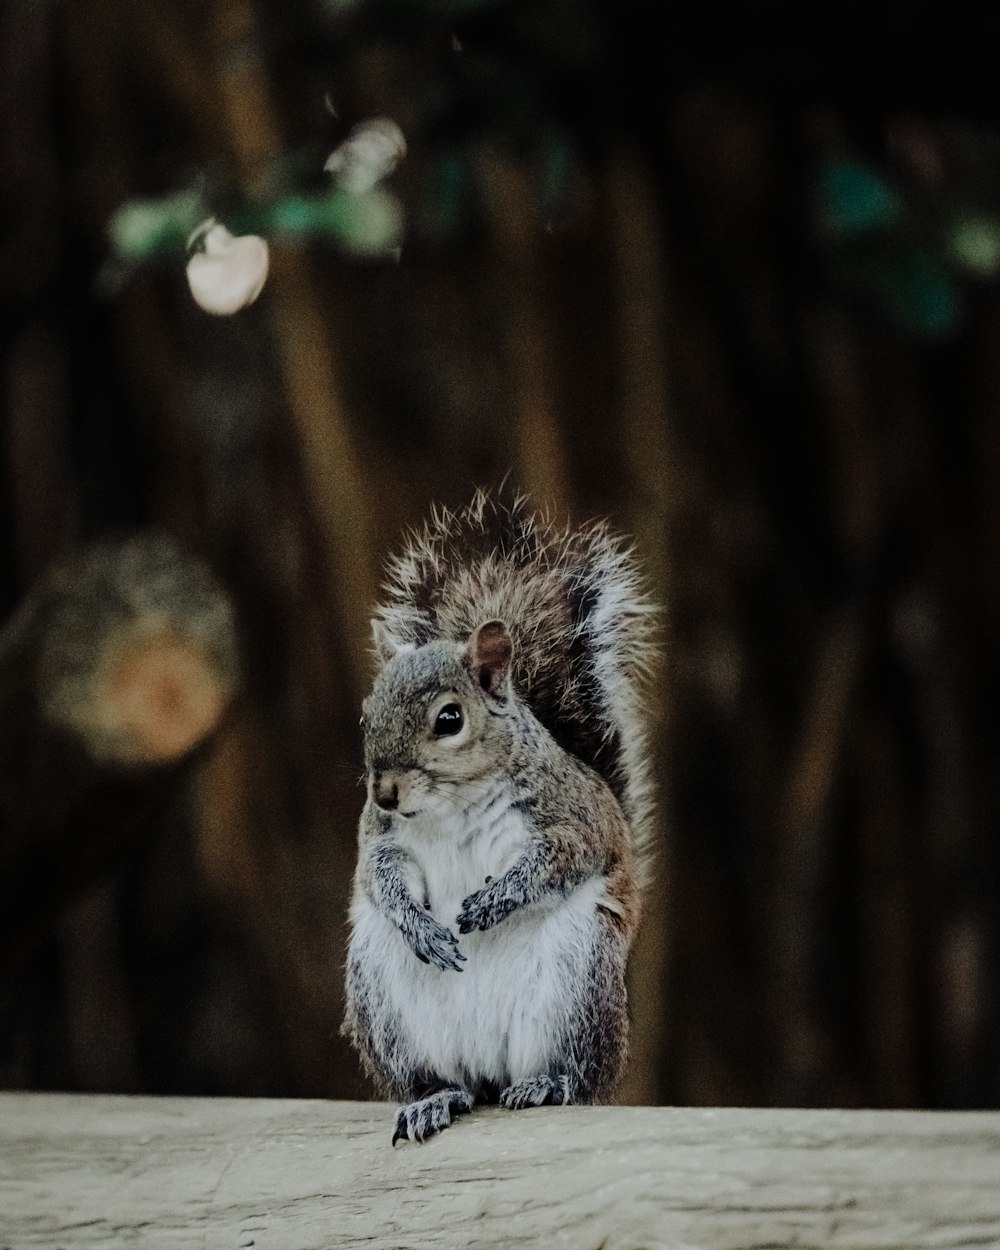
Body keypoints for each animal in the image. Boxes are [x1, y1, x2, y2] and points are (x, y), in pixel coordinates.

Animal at [340, 487, 660, 1145]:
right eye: (366, 712)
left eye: (449, 719)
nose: (384, 793)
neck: (449, 807)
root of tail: (490, 1070)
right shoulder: (383, 839)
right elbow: (379, 878)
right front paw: (421, 925)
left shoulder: (572, 817)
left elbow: (560, 860)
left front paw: (494, 901)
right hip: (382, 994)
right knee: (441, 1079)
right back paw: (433, 1099)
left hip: (579, 977)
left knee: (578, 1076)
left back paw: (547, 1085)